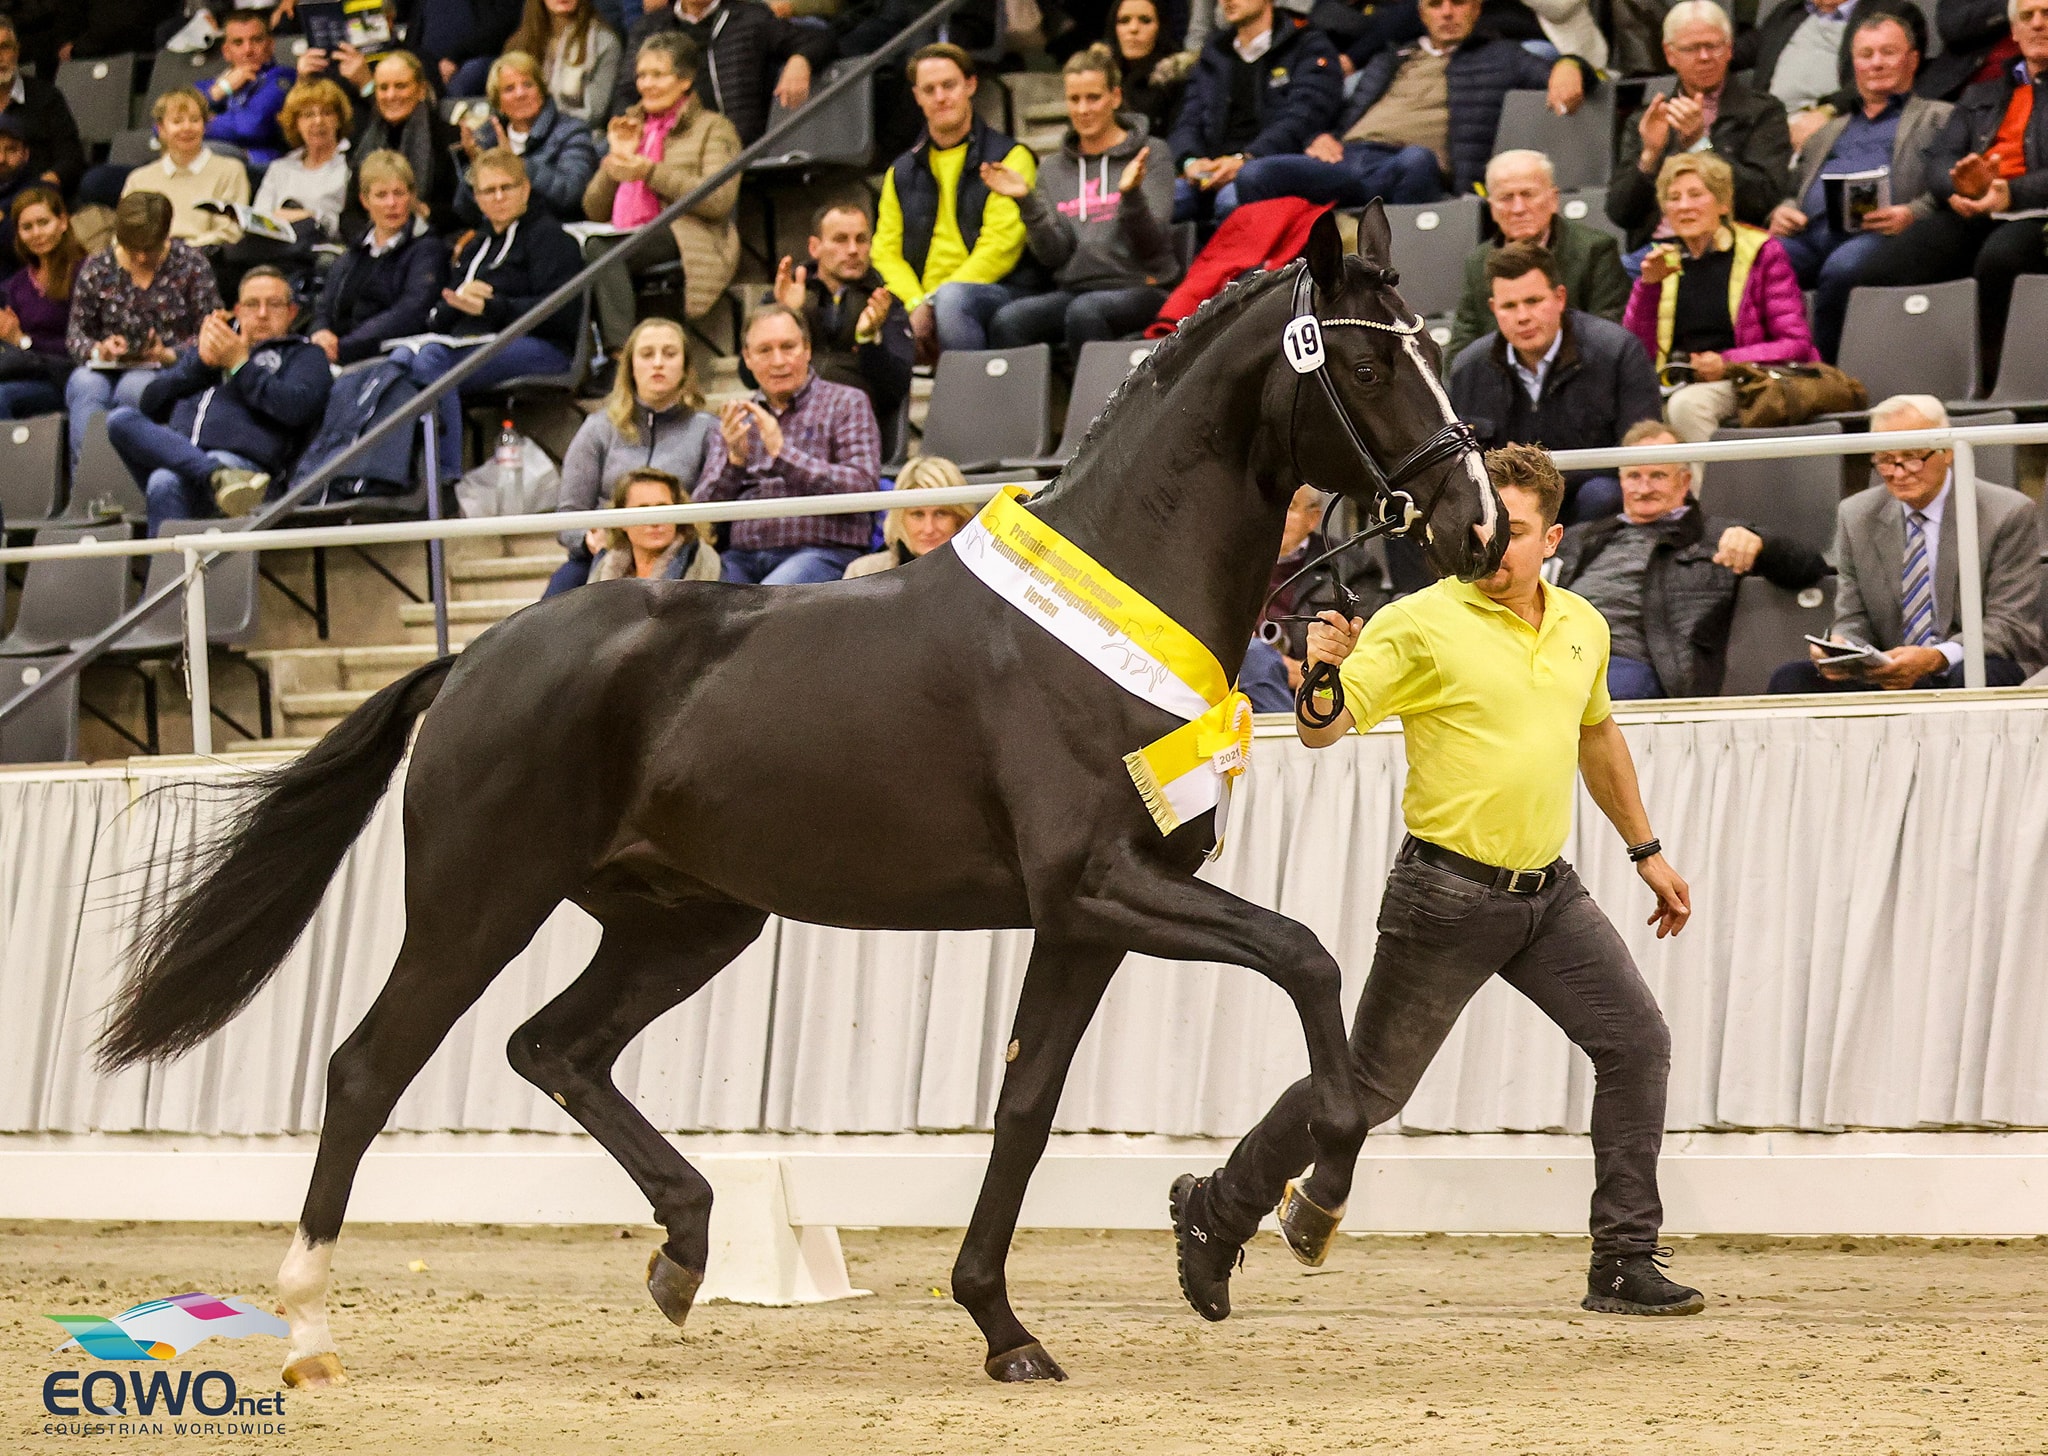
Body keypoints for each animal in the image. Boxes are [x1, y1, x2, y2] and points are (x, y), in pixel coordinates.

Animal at [96, 207, 1507, 1392]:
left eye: (1436, 354)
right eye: (1367, 367)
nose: (1478, 523)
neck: (1106, 608)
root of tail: (480, 658)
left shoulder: (1086, 918)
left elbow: (1026, 1108)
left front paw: (1009, 1323)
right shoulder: (1103, 885)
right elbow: (1309, 963)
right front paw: (1311, 1203)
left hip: (689, 921)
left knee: (553, 1048)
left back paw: (682, 1251)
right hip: (478, 901)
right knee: (368, 1067)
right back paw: (309, 1328)